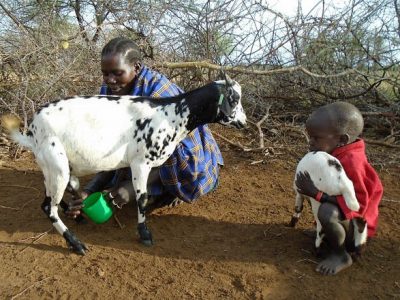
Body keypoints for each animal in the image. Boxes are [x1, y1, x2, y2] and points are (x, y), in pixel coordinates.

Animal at [3, 76, 247, 254]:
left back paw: (77, 215)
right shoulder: (140, 162)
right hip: (57, 165)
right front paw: (144, 234)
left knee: (55, 199)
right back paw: (76, 244)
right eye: (234, 99)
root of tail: (31, 130)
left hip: (53, 169)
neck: (171, 114)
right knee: (48, 207)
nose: (244, 122)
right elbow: (142, 198)